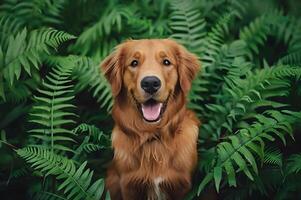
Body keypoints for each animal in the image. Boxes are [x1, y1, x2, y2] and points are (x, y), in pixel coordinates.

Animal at [101, 38, 199, 199]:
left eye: (166, 62)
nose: (150, 83)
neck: (153, 137)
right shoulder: (129, 186)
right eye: (134, 63)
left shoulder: (181, 184)